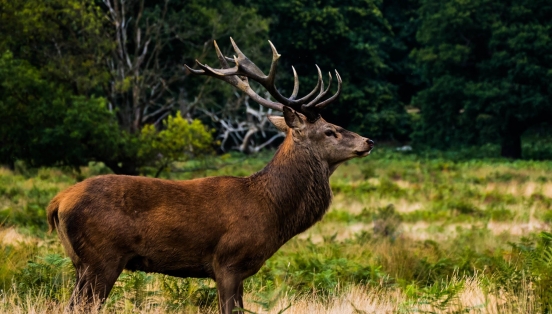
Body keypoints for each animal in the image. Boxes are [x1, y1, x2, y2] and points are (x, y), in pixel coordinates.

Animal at [47, 38, 376, 312]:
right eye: (330, 130)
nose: (368, 141)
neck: (271, 210)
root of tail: (58, 202)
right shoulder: (228, 262)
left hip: (81, 263)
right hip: (102, 257)